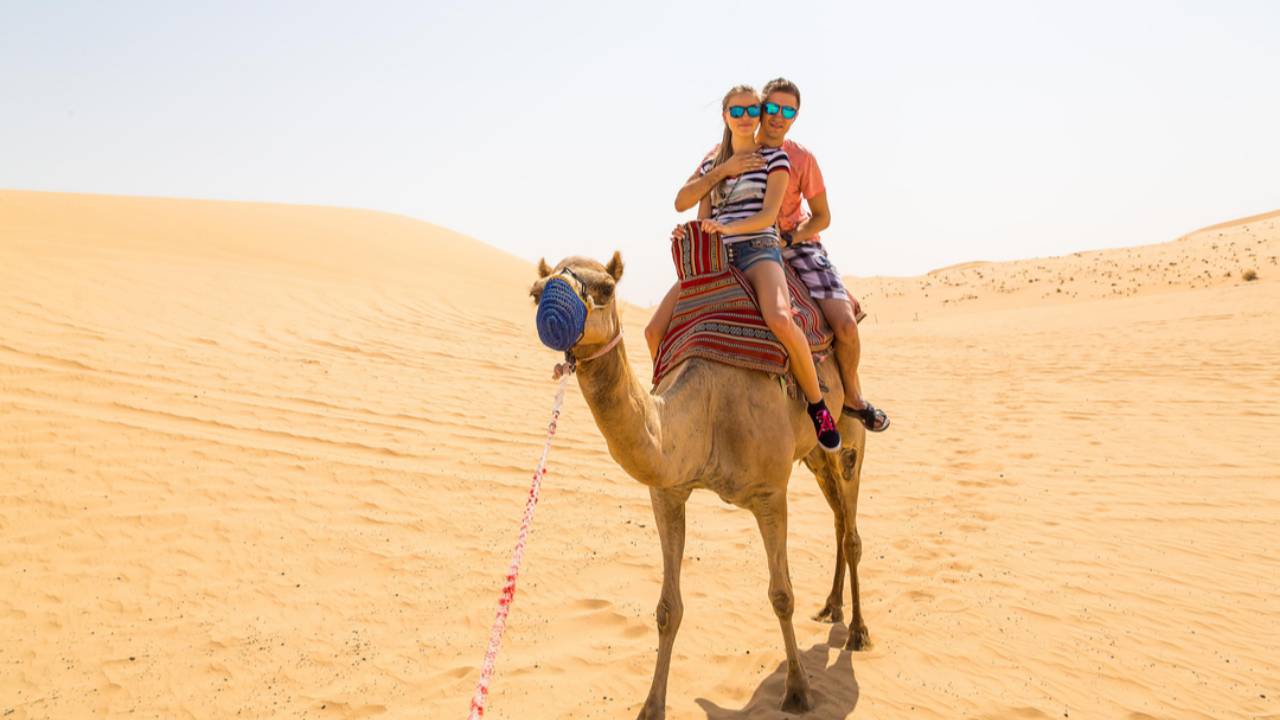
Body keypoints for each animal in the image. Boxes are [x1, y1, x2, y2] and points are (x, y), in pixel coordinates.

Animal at [530, 252, 870, 719]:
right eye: (534, 291)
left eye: (607, 289)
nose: (551, 307)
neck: (709, 409)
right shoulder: (667, 491)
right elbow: (667, 609)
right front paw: (651, 707)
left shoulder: (770, 492)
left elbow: (781, 594)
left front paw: (798, 691)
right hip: (816, 454)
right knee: (838, 518)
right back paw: (831, 607)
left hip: (848, 434)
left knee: (851, 527)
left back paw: (857, 632)